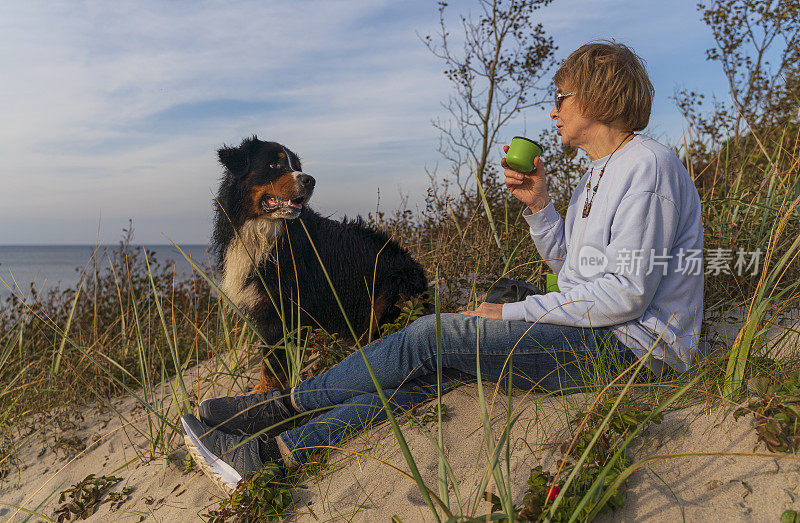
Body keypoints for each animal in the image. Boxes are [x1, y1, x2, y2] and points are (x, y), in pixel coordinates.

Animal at [211, 137, 424, 390]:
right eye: (274, 164)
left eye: (297, 167)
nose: (310, 180)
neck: (263, 232)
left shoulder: (282, 310)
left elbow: (273, 363)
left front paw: (264, 392)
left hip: (393, 287)